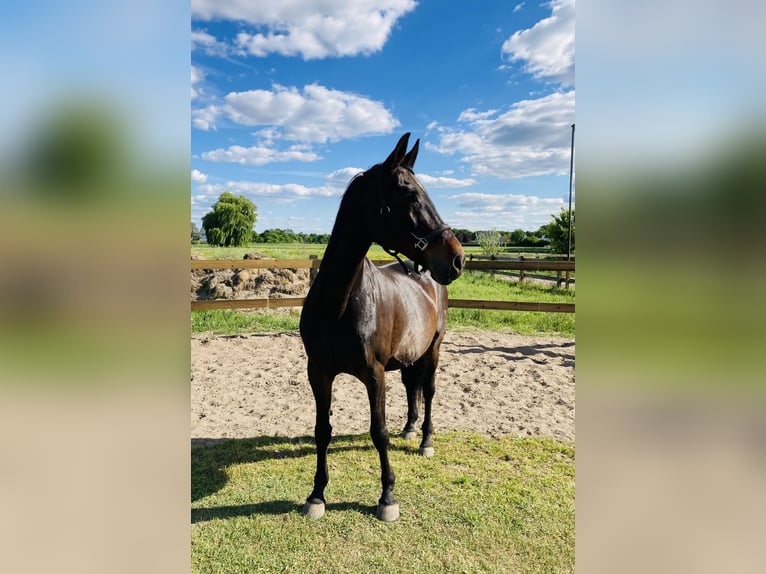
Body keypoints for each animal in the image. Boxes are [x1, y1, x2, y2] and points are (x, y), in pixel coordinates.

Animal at [299, 132, 465, 522]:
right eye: (409, 193)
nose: (457, 259)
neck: (339, 303)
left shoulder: (374, 375)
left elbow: (379, 432)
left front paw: (388, 497)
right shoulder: (319, 372)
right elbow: (322, 430)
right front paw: (317, 494)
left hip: (433, 349)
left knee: (429, 391)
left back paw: (425, 440)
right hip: (408, 357)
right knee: (411, 388)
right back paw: (410, 429)